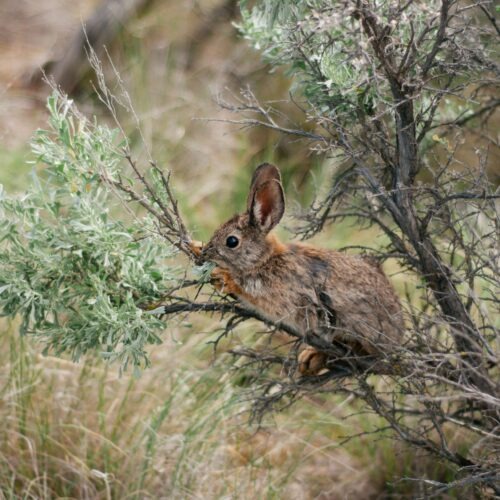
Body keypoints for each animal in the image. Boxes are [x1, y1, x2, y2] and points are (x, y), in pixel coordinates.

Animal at [195, 164, 402, 376]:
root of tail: (399, 334)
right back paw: (310, 359)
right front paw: (196, 246)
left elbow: (248, 291)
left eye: (232, 241)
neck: (264, 260)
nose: (205, 255)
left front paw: (223, 277)